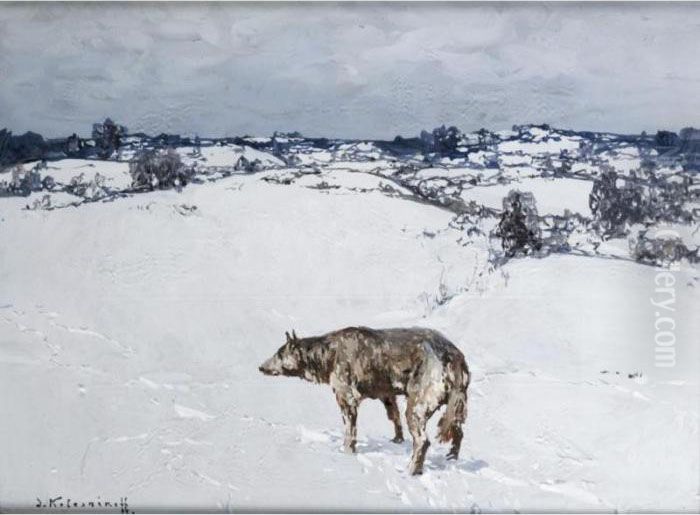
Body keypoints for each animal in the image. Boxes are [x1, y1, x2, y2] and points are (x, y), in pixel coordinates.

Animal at [258, 326, 470, 475]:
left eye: (279, 354)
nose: (261, 367)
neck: (328, 352)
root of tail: (454, 356)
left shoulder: (347, 398)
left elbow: (349, 433)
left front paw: (347, 453)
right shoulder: (387, 395)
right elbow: (394, 419)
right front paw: (397, 440)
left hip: (416, 408)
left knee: (422, 442)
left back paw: (411, 470)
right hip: (454, 410)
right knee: (458, 434)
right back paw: (451, 458)